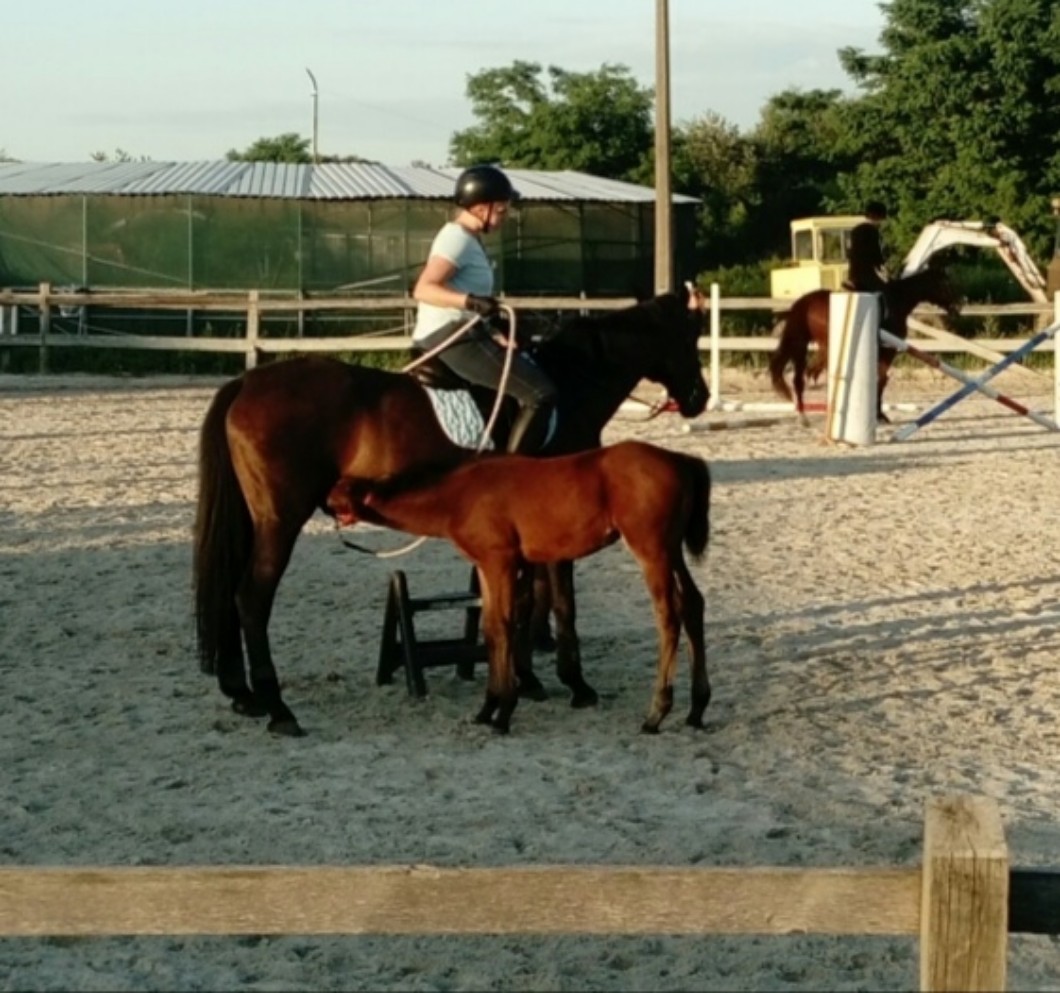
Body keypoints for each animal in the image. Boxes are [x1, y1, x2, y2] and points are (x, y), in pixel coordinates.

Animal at [326, 440, 712, 735]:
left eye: (339, 493)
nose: (325, 508)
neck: (459, 495)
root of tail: (680, 459)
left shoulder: (501, 563)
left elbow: (505, 626)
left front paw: (504, 711)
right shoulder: (486, 567)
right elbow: (491, 630)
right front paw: (487, 709)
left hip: (651, 550)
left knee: (669, 617)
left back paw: (656, 713)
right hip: (672, 550)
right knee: (693, 605)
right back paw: (696, 709)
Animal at [768, 266, 962, 424]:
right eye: (946, 284)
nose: (957, 307)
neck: (897, 301)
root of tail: (805, 302)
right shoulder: (888, 351)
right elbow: (881, 380)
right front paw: (880, 415)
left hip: (808, 345)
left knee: (806, 374)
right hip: (817, 345)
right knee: (804, 376)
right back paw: (806, 416)